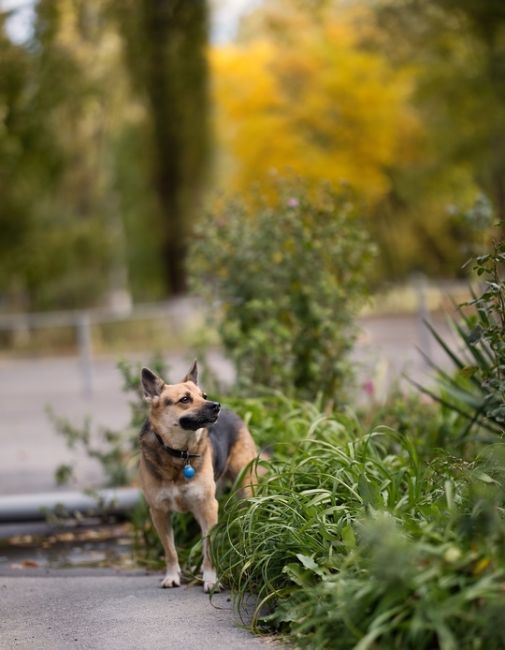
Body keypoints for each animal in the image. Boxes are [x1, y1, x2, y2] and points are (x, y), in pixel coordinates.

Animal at [138, 360, 256, 592]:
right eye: (185, 399)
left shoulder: (208, 507)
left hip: (244, 487)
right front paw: (172, 576)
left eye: (204, 395)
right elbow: (170, 550)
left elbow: (208, 547)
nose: (216, 405)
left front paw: (211, 579)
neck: (180, 454)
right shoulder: (159, 512)